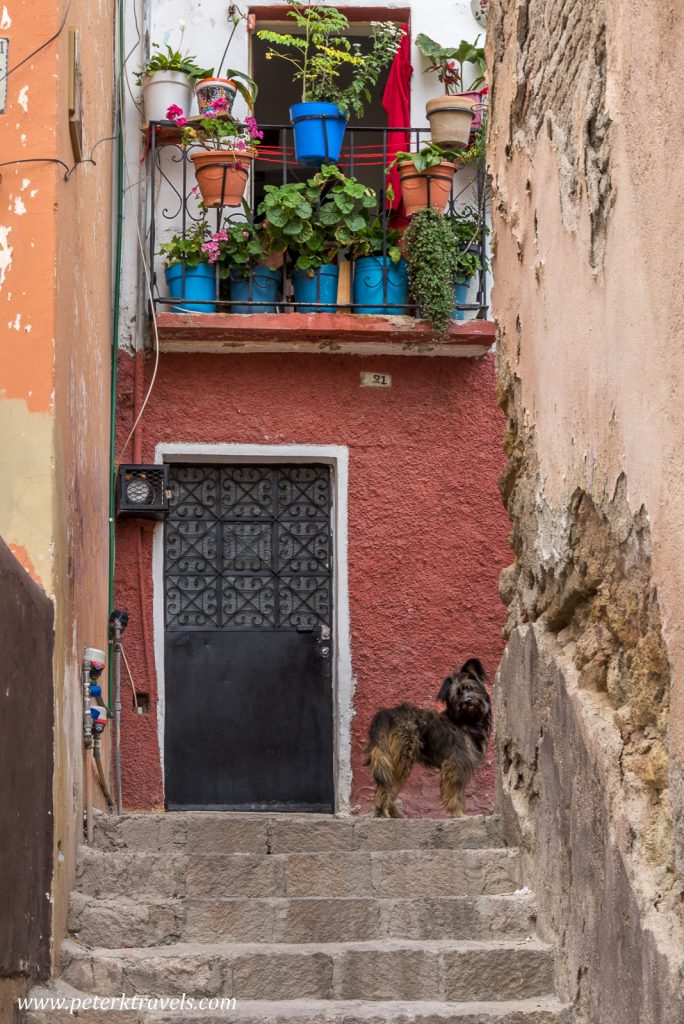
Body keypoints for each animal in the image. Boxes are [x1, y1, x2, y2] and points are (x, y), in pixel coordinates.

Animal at [362, 659, 491, 819]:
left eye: (470, 688)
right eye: (457, 694)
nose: (467, 700)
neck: (465, 721)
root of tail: (385, 714)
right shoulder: (455, 763)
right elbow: (455, 794)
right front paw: (460, 814)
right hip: (401, 759)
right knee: (386, 788)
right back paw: (385, 814)